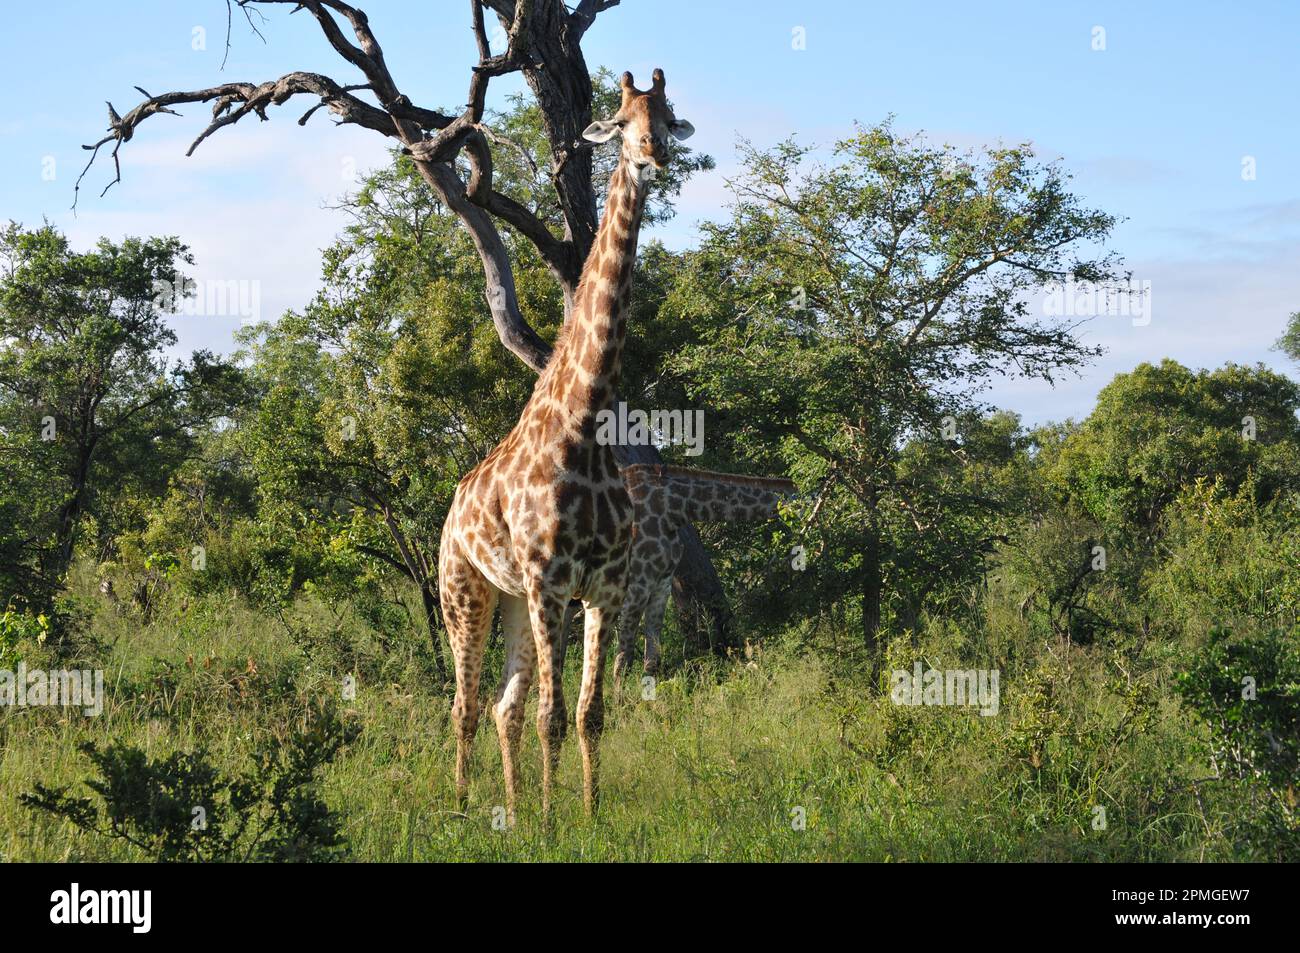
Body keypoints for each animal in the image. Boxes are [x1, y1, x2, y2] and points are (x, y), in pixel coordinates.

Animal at [436, 70, 696, 821]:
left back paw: (515, 807)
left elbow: (589, 713)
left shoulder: (602, 585)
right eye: (620, 122)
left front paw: (584, 810)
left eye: (666, 119)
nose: (652, 158)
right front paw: (557, 823)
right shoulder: (554, 581)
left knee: (503, 707)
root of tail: (449, 510)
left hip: (516, 600)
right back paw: (463, 805)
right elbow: (554, 714)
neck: (585, 426)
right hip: (464, 591)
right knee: (465, 704)